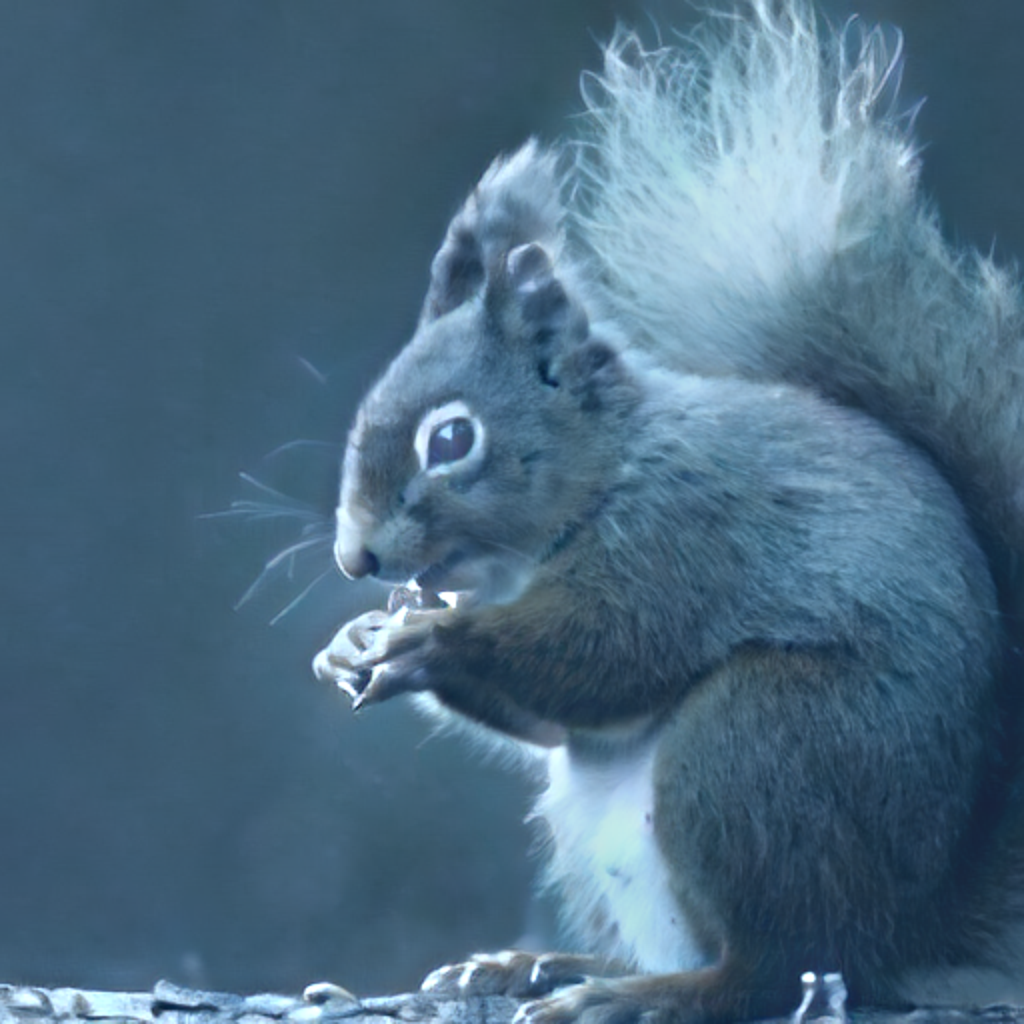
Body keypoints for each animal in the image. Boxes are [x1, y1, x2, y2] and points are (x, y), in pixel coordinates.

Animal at [312, 0, 1024, 1020]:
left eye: (451, 440)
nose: (356, 558)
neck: (606, 473)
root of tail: (903, 934)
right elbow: (555, 716)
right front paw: (350, 645)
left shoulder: (683, 538)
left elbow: (607, 649)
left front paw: (433, 639)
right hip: (604, 812)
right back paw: (543, 967)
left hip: (758, 747)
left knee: (775, 965)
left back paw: (639, 995)